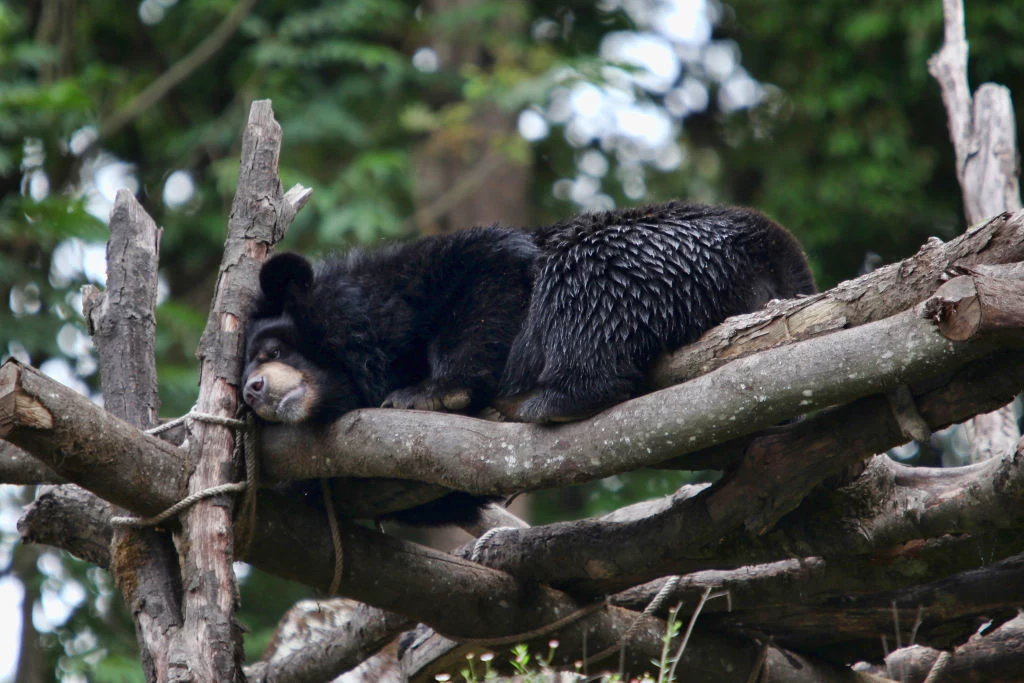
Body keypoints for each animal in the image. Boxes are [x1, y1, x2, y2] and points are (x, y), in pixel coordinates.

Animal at [241, 200, 815, 528]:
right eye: (248, 369)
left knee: (587, 271)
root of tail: (786, 271)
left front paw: (431, 392)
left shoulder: (420, 284)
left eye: (272, 350)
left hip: (655, 251)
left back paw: (551, 399)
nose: (252, 389)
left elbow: (490, 271)